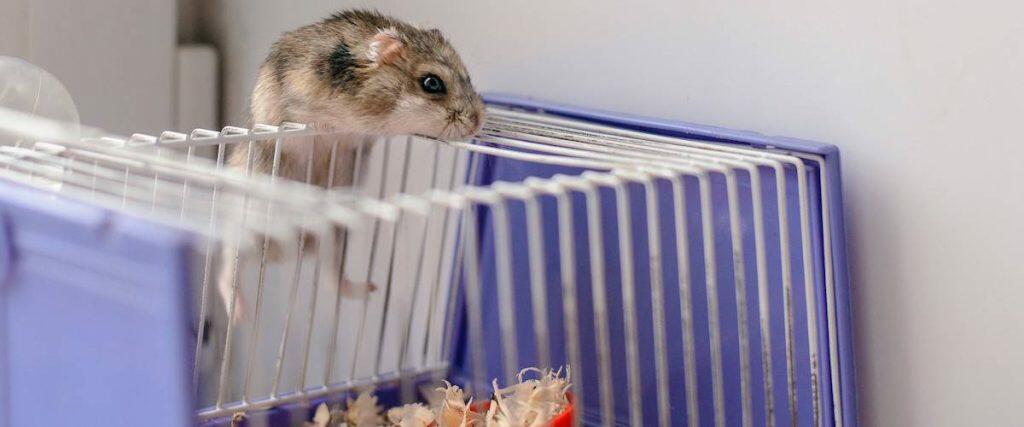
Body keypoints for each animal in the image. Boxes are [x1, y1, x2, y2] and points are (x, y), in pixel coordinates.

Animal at [217, 9, 485, 323]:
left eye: (468, 76)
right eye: (432, 83)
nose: (477, 123)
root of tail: (286, 250)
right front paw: (323, 126)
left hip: (334, 235)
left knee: (334, 281)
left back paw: (369, 289)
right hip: (245, 227)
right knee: (227, 271)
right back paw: (239, 314)